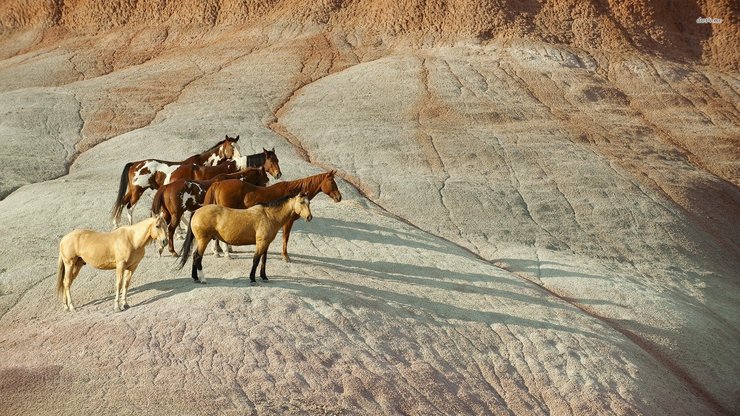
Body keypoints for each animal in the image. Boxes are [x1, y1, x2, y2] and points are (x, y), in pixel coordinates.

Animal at [110, 136, 243, 228]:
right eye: (231, 147)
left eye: (239, 146)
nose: (240, 158)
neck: (201, 164)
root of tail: (134, 164)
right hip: (137, 191)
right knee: (129, 207)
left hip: (132, 190)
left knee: (122, 203)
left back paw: (116, 224)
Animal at [178, 193, 312, 284]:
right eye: (301, 202)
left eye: (309, 203)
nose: (309, 217)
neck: (269, 216)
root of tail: (196, 211)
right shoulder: (261, 243)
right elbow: (256, 260)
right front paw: (252, 279)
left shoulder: (266, 244)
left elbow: (263, 260)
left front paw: (264, 277)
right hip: (203, 240)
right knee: (197, 257)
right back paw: (203, 279)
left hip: (199, 240)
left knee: (194, 255)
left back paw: (195, 277)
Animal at [202, 169, 342, 260]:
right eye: (332, 182)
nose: (339, 197)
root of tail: (218, 183)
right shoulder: (288, 222)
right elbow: (286, 237)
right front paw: (285, 256)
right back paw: (226, 253)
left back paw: (219, 251)